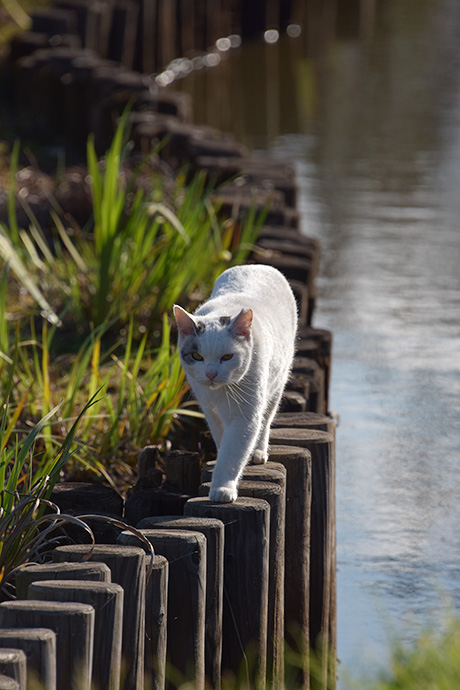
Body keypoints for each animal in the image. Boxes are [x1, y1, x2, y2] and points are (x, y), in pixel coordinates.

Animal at [173, 264, 298, 500]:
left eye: (227, 357)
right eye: (197, 357)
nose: (211, 374)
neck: (221, 391)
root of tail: (257, 265)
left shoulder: (244, 416)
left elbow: (233, 452)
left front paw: (222, 488)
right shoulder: (210, 409)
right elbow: (223, 441)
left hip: (277, 383)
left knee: (266, 419)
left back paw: (258, 451)